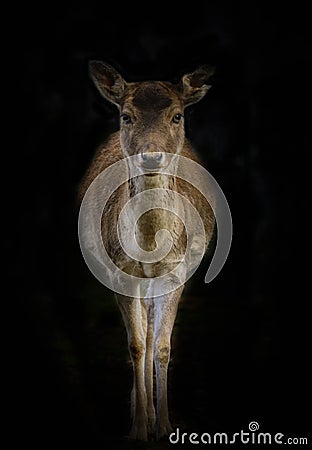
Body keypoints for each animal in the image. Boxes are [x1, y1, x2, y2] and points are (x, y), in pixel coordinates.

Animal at [78, 61, 214, 442]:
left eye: (177, 115)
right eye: (126, 116)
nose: (151, 155)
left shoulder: (176, 271)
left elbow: (162, 346)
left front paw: (164, 427)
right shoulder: (118, 272)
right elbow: (136, 344)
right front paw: (138, 428)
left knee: (154, 333)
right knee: (142, 333)